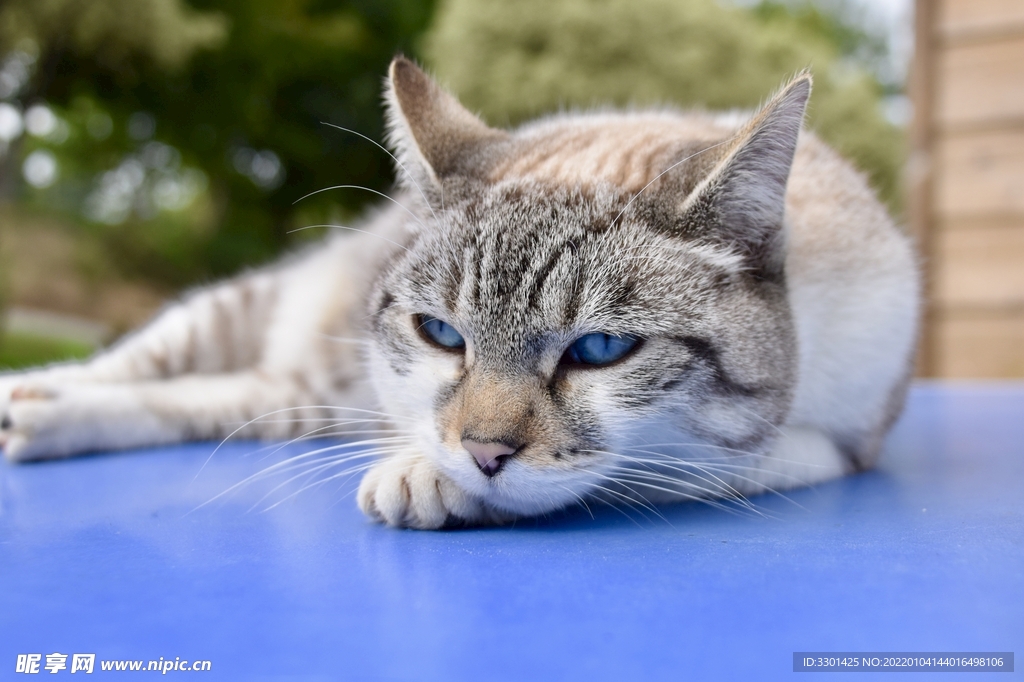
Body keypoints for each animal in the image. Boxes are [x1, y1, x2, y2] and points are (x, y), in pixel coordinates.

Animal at [0, 57, 917, 524]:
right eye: (441, 334)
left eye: (600, 350)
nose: (483, 455)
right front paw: (434, 467)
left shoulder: (837, 443)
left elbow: (677, 467)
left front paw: (431, 480)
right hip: (251, 317)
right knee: (141, 361)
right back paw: (31, 399)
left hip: (294, 396)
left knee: (212, 396)